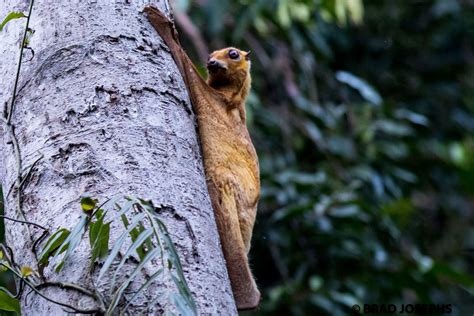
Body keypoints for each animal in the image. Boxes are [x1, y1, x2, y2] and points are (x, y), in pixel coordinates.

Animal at [144, 6, 262, 310]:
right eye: (211, 54)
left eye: (232, 53)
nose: (211, 61)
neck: (232, 99)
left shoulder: (211, 98)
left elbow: (186, 68)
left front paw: (159, 20)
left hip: (225, 186)